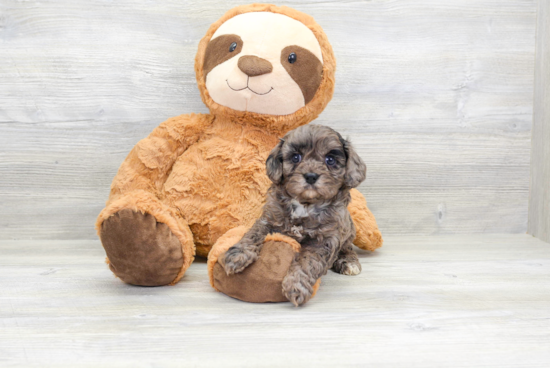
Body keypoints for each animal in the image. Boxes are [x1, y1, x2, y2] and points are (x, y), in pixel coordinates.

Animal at [222, 125, 368, 306]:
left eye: (330, 160)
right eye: (295, 157)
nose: (311, 176)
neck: (305, 204)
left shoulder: (326, 238)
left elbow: (308, 260)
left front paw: (296, 286)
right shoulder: (269, 219)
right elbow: (253, 234)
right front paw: (238, 255)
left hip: (348, 232)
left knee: (347, 248)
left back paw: (349, 262)